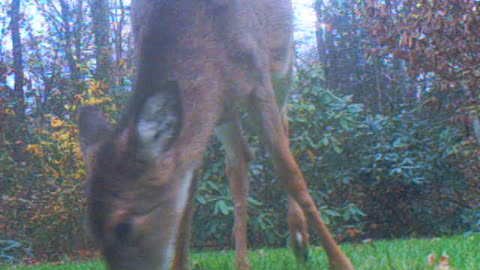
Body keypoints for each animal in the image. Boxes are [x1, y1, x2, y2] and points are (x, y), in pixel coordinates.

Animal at [79, 0, 354, 270]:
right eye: (91, 228)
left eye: (123, 226)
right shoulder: (210, 104)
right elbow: (188, 189)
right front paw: (180, 264)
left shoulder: (259, 80)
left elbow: (290, 173)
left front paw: (341, 262)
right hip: (225, 111)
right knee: (239, 160)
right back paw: (242, 261)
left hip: (283, 69)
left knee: (284, 129)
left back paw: (299, 241)